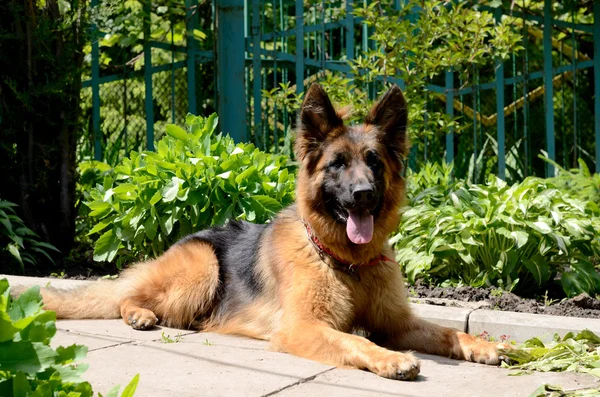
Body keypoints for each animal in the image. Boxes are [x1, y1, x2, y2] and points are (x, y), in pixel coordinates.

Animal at [39, 84, 506, 380]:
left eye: (373, 161)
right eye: (337, 164)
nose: (363, 195)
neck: (347, 263)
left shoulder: (397, 322)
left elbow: (445, 331)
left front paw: (482, 344)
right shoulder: (304, 326)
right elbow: (354, 342)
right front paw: (391, 359)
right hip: (201, 270)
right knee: (126, 296)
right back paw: (139, 314)